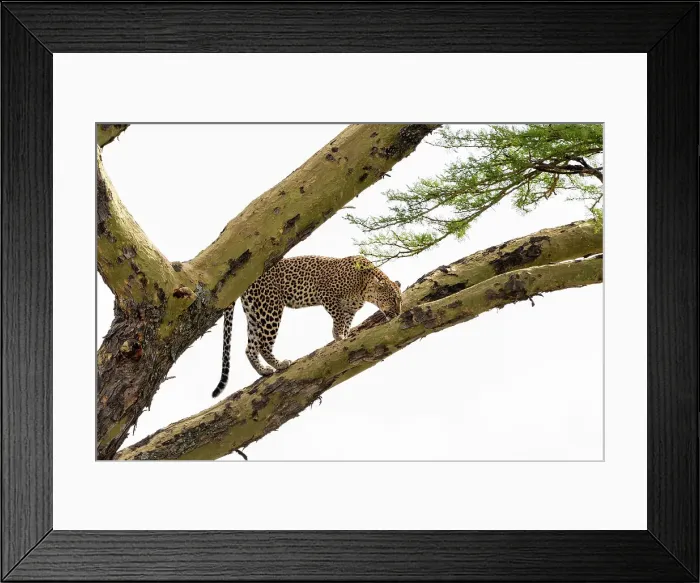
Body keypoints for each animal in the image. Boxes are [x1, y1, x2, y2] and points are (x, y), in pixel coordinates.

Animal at [212, 255, 402, 398]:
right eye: (393, 299)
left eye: (400, 300)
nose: (399, 313)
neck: (365, 287)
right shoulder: (328, 295)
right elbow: (338, 318)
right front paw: (338, 336)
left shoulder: (350, 309)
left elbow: (346, 323)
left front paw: (345, 336)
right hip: (270, 308)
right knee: (264, 344)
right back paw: (280, 365)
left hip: (255, 313)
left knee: (250, 347)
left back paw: (263, 371)